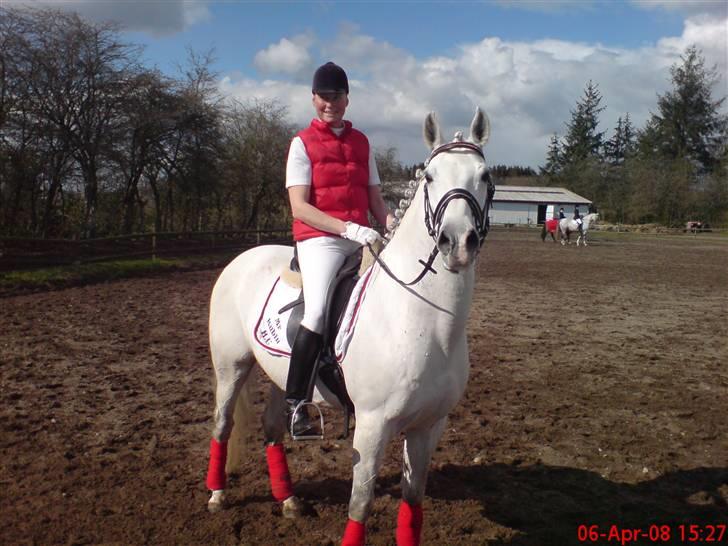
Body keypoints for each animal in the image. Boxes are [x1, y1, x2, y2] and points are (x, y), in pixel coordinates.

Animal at [202, 107, 492, 544]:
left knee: (273, 428)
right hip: (231, 366)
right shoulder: (372, 425)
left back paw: (289, 500)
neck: (421, 322)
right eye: (429, 176)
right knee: (223, 423)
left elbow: (413, 501)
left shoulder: (429, 426)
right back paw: (217, 495)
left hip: (280, 374)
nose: (457, 243)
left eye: (485, 175)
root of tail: (243, 257)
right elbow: (361, 503)